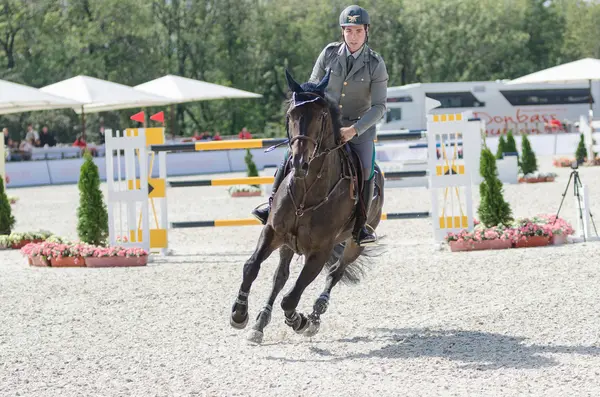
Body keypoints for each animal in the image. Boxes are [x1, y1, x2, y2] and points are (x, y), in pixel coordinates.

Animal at [230, 69, 384, 342]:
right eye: (291, 114)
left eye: (321, 115)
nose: (300, 162)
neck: (306, 191)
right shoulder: (273, 232)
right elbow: (252, 267)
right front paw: (239, 313)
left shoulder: (320, 251)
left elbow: (291, 298)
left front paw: (299, 321)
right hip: (288, 243)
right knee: (280, 277)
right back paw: (260, 323)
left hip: (354, 243)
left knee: (335, 272)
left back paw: (315, 315)